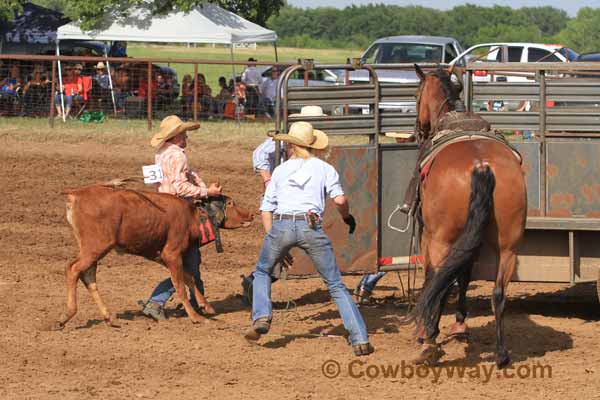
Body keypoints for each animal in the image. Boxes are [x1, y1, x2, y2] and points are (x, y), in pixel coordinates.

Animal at [52, 186, 247, 330]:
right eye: (230, 202)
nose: (251, 214)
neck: (191, 216)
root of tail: (77, 193)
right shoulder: (172, 253)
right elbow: (180, 286)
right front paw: (196, 317)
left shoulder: (161, 256)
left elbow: (188, 277)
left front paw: (205, 305)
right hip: (96, 247)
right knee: (73, 269)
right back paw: (65, 316)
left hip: (91, 249)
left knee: (88, 276)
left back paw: (109, 318)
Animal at [408, 65, 528, 368]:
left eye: (416, 94)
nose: (418, 130)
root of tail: (481, 165)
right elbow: (464, 276)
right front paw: (460, 323)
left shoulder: (427, 235)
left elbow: (435, 279)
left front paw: (430, 331)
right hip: (509, 244)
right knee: (498, 293)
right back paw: (501, 354)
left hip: (442, 239)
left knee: (438, 283)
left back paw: (428, 343)